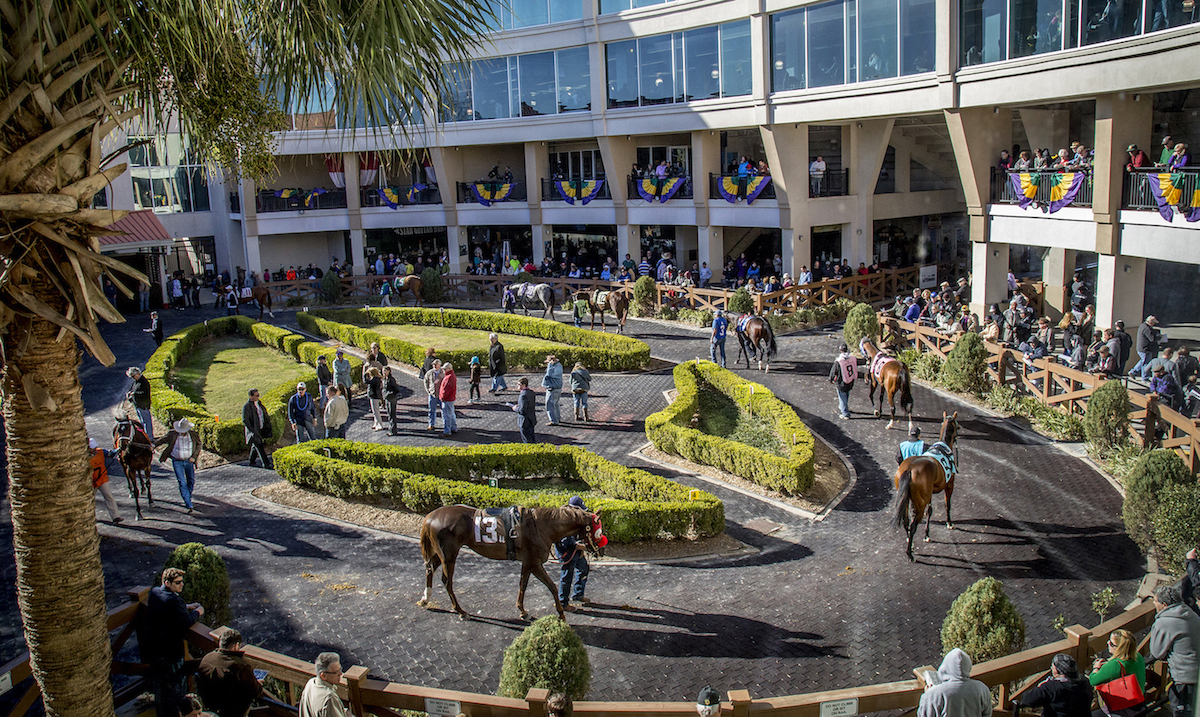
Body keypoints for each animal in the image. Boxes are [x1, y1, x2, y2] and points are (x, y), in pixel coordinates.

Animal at [420, 505, 604, 623]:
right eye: (598, 531)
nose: (601, 551)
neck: (541, 526)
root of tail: (429, 517)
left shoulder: (528, 562)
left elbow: (523, 584)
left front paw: (523, 612)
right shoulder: (535, 563)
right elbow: (552, 586)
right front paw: (561, 614)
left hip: (440, 553)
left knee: (430, 568)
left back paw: (425, 599)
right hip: (448, 555)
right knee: (446, 580)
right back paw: (460, 611)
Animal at [897, 412, 960, 565]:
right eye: (958, 425)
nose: (958, 435)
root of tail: (909, 470)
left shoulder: (929, 494)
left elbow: (929, 511)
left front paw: (927, 535)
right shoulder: (950, 485)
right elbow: (947, 505)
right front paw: (949, 523)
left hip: (906, 499)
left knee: (906, 521)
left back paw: (910, 543)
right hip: (919, 502)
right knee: (913, 524)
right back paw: (910, 554)